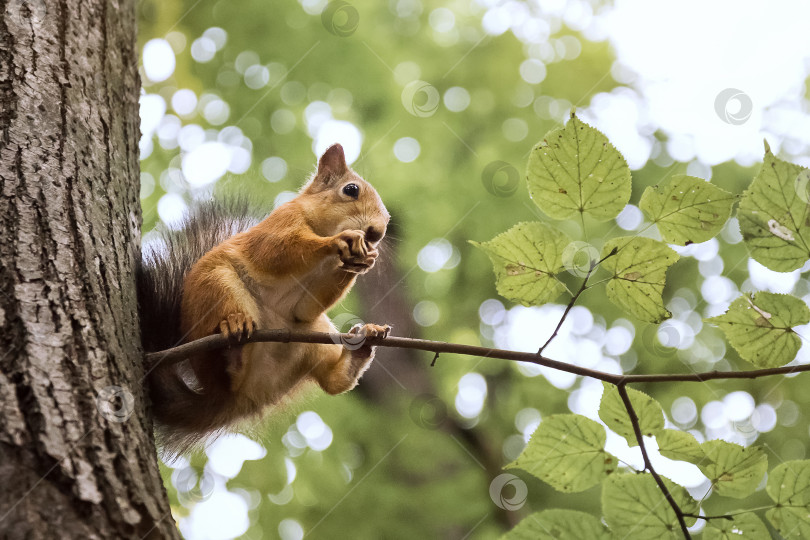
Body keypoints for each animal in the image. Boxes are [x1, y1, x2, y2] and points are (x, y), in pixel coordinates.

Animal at [136, 144, 388, 456]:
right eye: (351, 190)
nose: (377, 233)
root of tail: (235, 400)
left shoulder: (310, 305)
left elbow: (308, 305)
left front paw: (363, 260)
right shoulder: (279, 226)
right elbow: (280, 251)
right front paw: (341, 240)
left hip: (315, 338)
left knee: (333, 382)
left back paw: (363, 346)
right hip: (219, 287)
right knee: (230, 368)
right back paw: (233, 337)